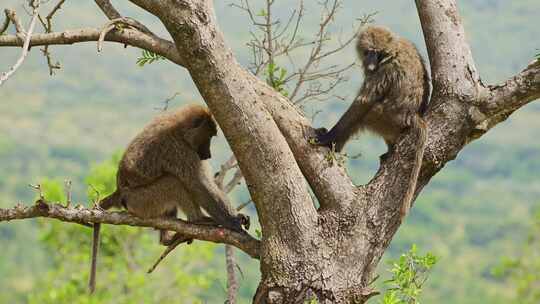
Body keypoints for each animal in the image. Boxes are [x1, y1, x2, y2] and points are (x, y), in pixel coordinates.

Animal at [88, 104, 249, 292]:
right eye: (208, 136)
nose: (208, 155)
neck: (180, 130)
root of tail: (120, 191)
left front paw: (237, 217)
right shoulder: (182, 151)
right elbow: (199, 186)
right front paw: (234, 222)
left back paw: (167, 238)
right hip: (141, 201)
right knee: (173, 182)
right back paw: (198, 220)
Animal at [314, 25, 428, 221]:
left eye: (378, 53)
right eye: (368, 52)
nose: (371, 64)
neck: (392, 49)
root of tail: (412, 116)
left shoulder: (385, 70)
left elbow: (363, 102)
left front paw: (328, 138)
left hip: (384, 118)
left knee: (364, 114)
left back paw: (335, 145)